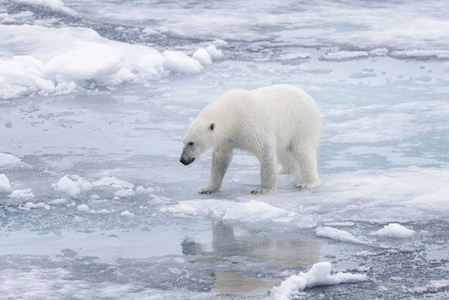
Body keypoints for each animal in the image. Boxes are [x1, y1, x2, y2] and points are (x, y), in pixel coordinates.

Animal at [179, 84, 322, 195]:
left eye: (192, 143)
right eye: (184, 141)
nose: (183, 160)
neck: (234, 115)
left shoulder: (252, 126)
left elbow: (265, 152)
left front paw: (263, 189)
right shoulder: (226, 139)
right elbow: (221, 159)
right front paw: (208, 188)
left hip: (301, 123)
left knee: (302, 151)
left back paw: (306, 183)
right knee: (284, 153)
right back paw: (284, 173)